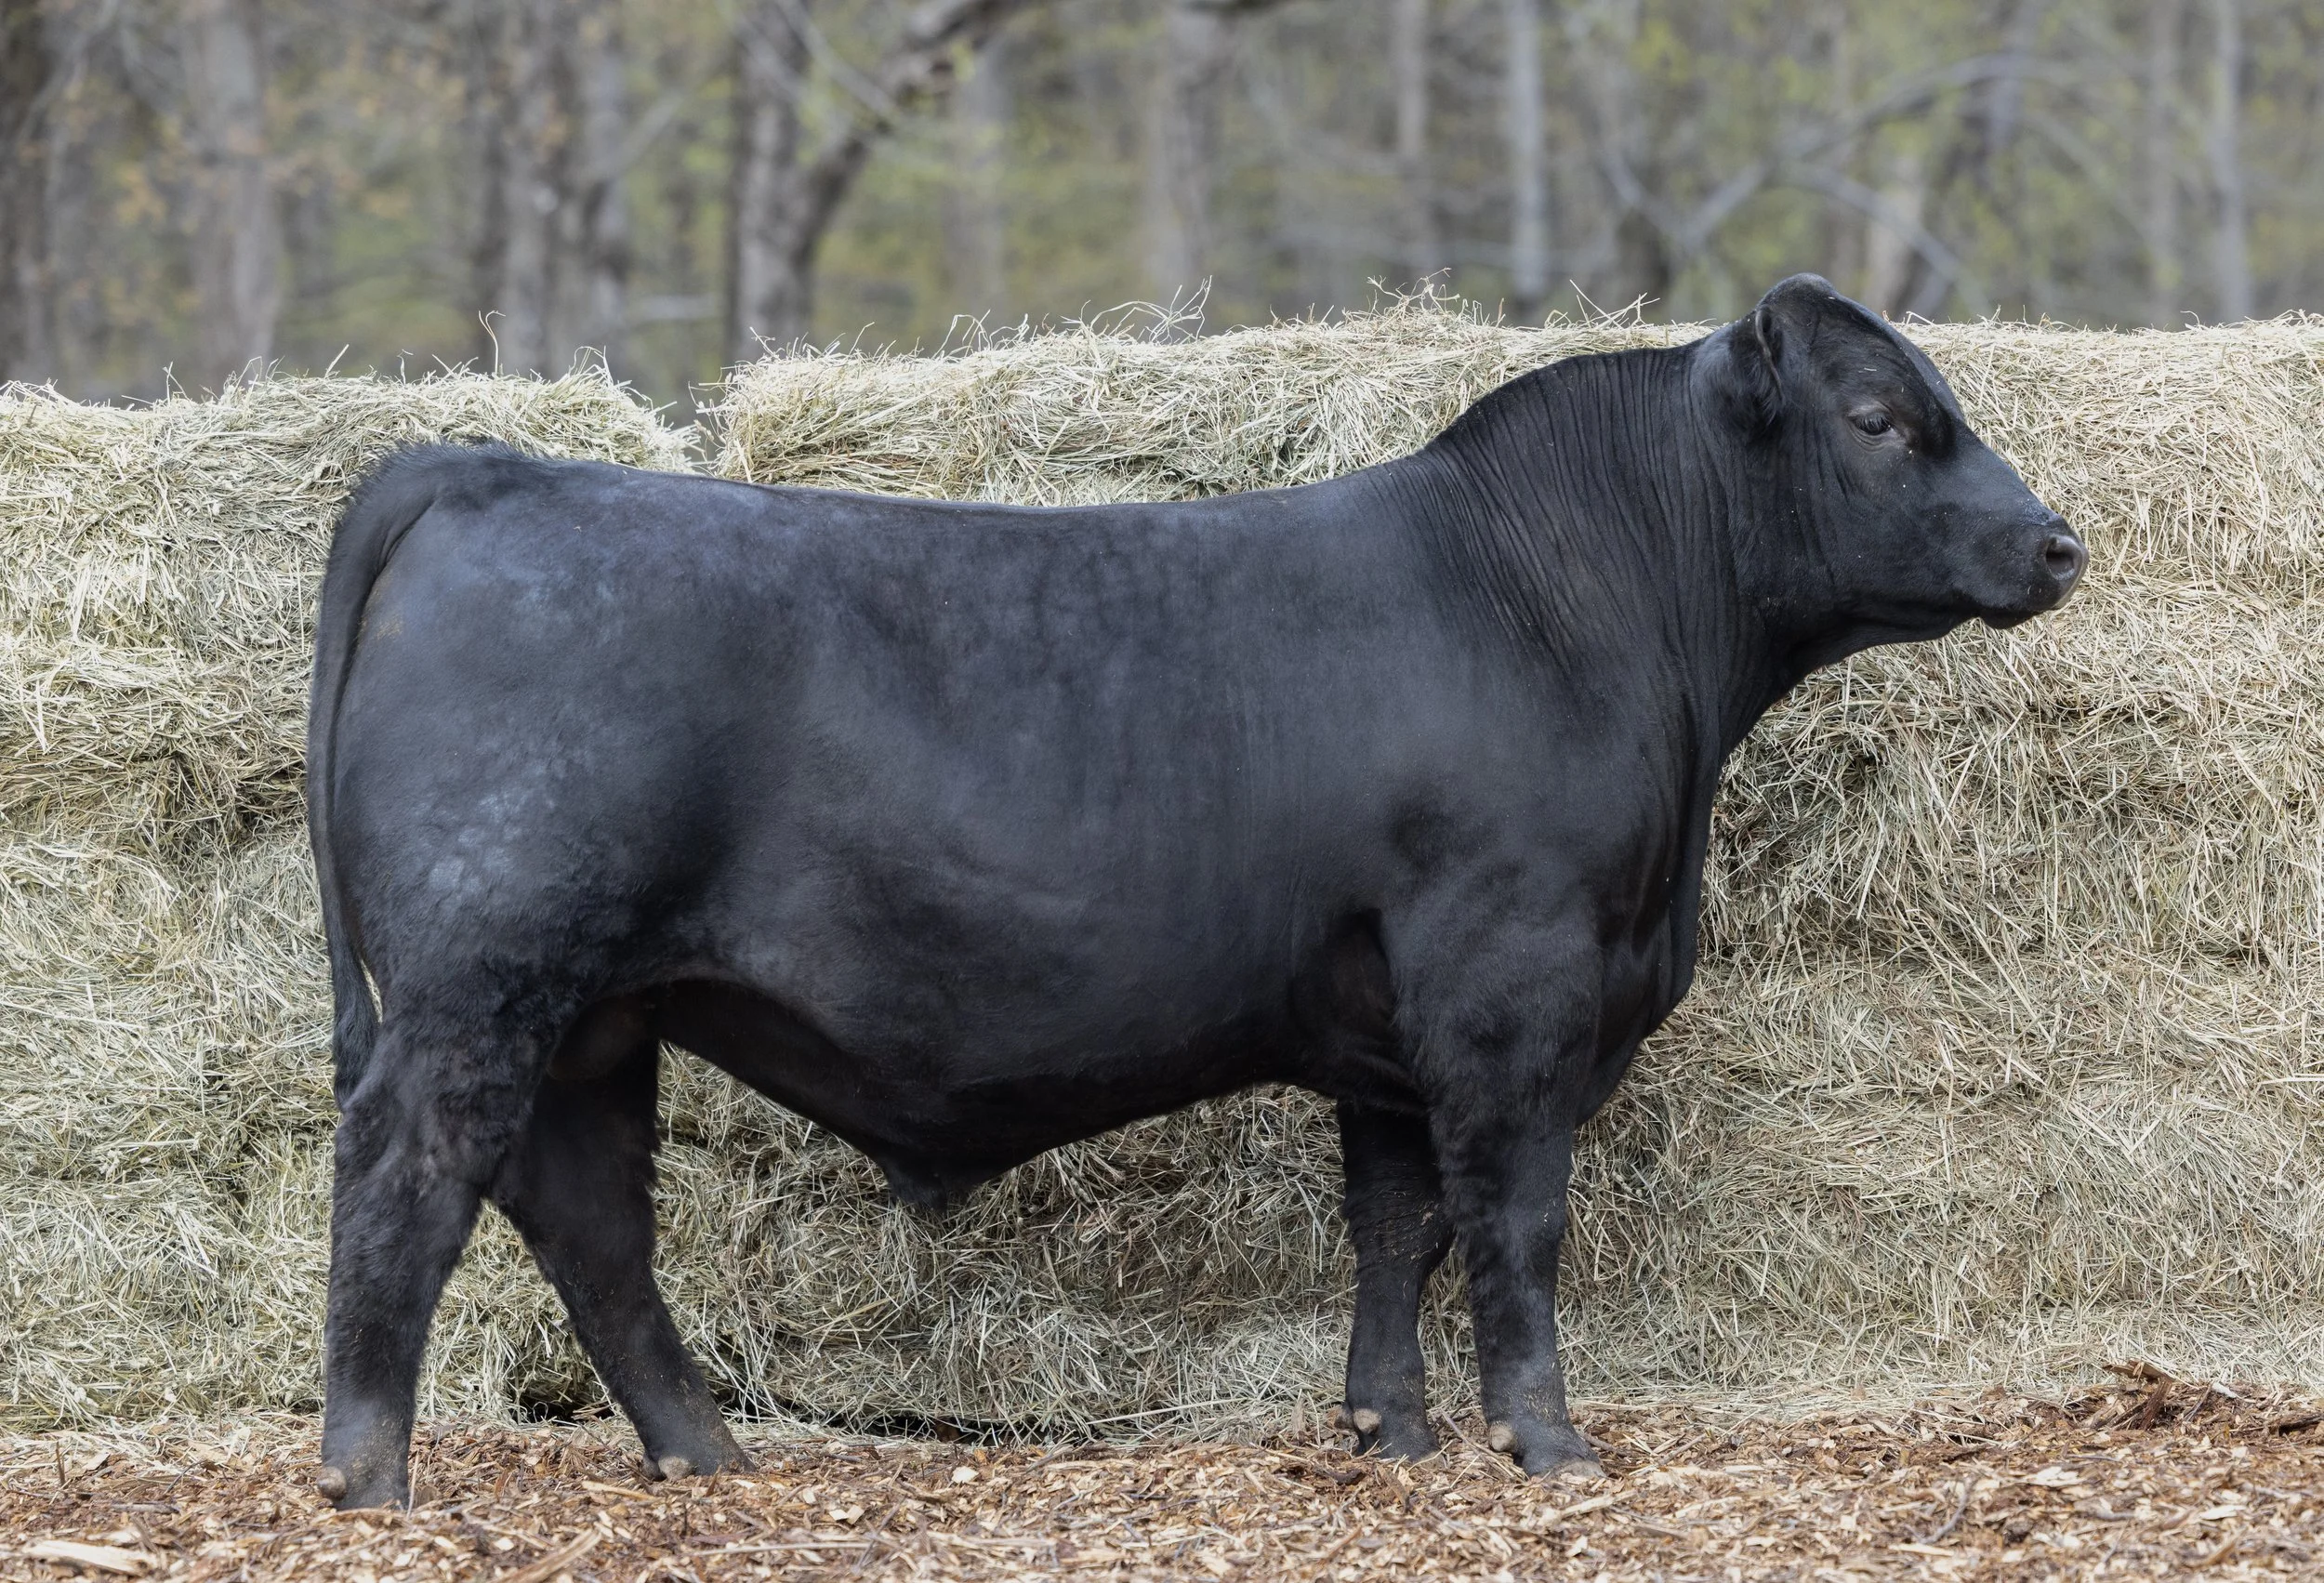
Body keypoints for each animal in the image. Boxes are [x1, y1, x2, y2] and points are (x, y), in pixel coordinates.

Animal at [307, 276, 2082, 1506]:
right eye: (1877, 414)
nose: (2058, 541)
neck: (1567, 599)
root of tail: (479, 469)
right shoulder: (1509, 981)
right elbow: (1513, 1213)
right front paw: (1545, 1438)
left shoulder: (1390, 1030)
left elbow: (1398, 1224)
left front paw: (1390, 1429)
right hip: (486, 973)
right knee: (413, 1174)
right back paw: (370, 1470)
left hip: (599, 1015)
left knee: (587, 1217)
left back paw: (708, 1458)